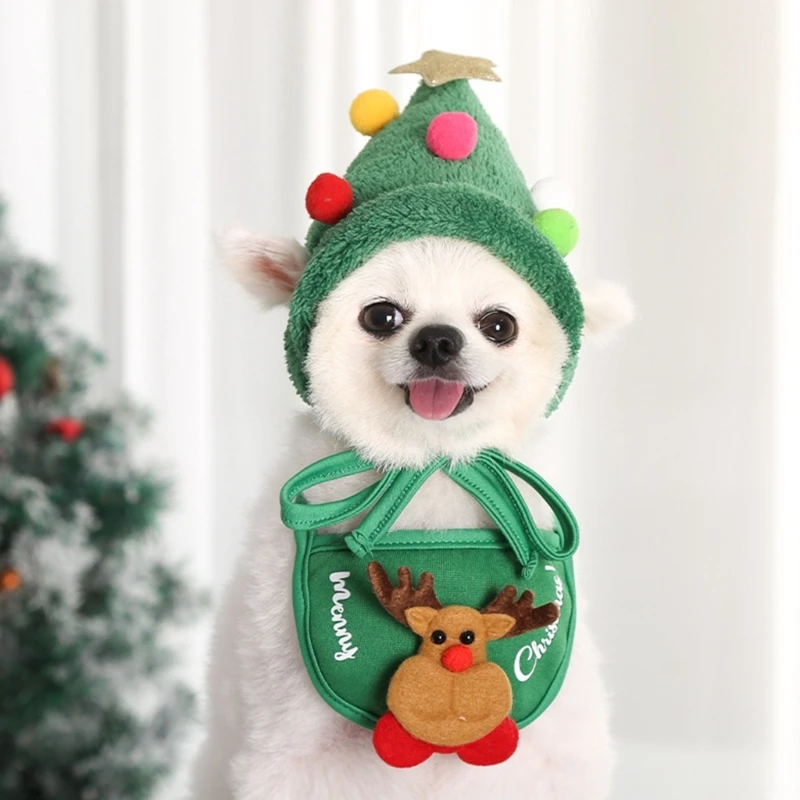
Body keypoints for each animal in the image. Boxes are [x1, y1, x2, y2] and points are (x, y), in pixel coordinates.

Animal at [188, 230, 632, 792]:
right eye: (381, 316)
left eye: (499, 325)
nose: (437, 340)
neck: (431, 465)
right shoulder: (291, 742)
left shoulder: (557, 753)